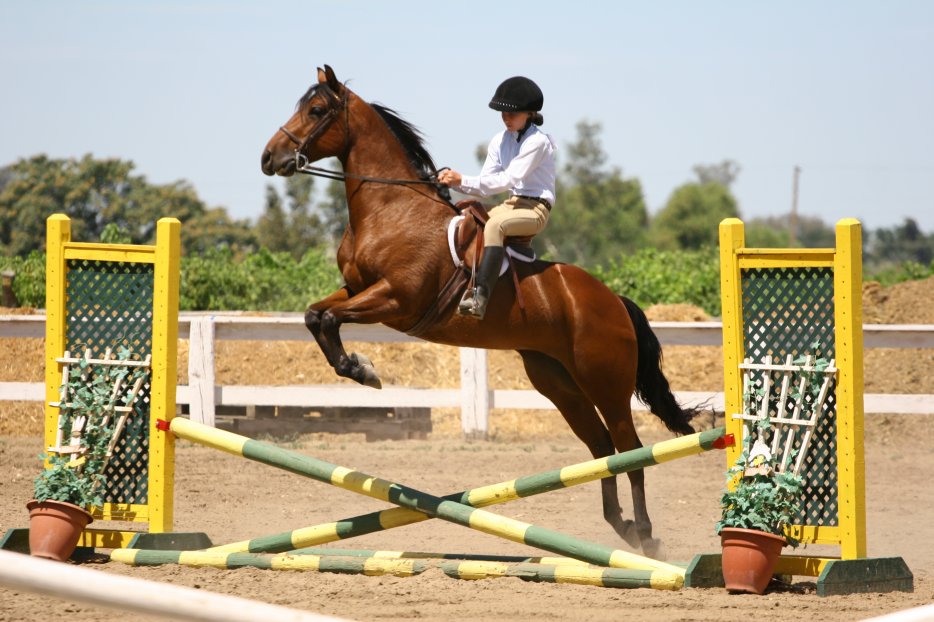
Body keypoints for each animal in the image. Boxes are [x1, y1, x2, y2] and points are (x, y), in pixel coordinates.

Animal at [261, 65, 700, 555]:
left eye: (317, 110)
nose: (269, 157)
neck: (391, 208)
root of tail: (614, 301)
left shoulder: (393, 299)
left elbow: (330, 319)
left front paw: (364, 370)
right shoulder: (355, 289)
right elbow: (315, 315)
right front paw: (358, 367)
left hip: (605, 383)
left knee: (631, 450)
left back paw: (644, 535)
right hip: (558, 382)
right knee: (603, 449)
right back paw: (620, 526)